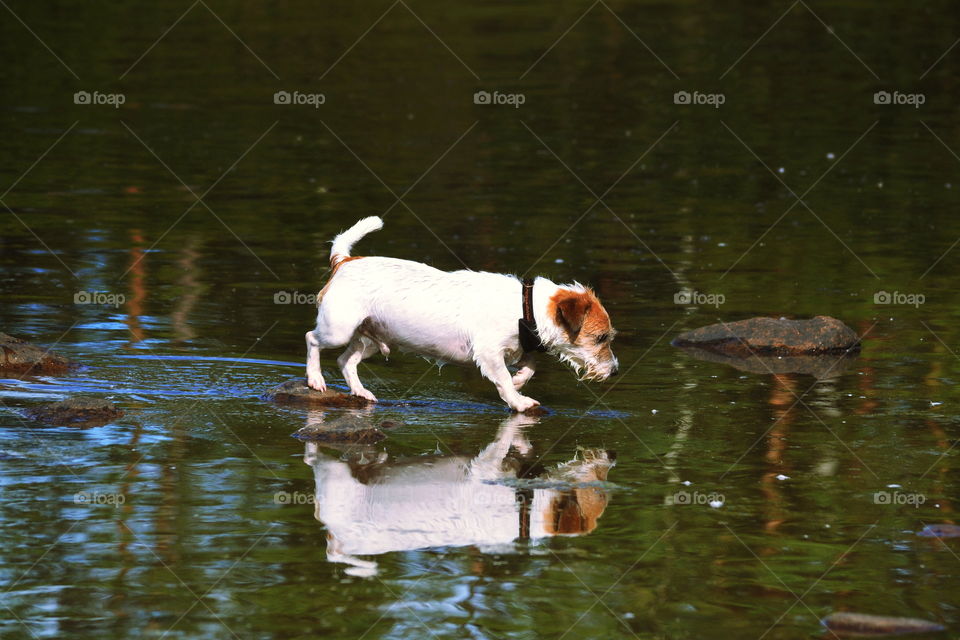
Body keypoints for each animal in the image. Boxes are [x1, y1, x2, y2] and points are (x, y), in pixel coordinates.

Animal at [308, 218, 624, 412]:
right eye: (600, 338)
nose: (615, 371)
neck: (525, 307)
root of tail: (346, 261)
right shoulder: (489, 354)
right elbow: (504, 379)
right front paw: (518, 400)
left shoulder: (518, 347)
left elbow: (530, 366)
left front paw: (520, 380)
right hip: (338, 329)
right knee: (312, 339)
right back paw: (315, 378)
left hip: (369, 339)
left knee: (345, 361)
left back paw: (360, 391)